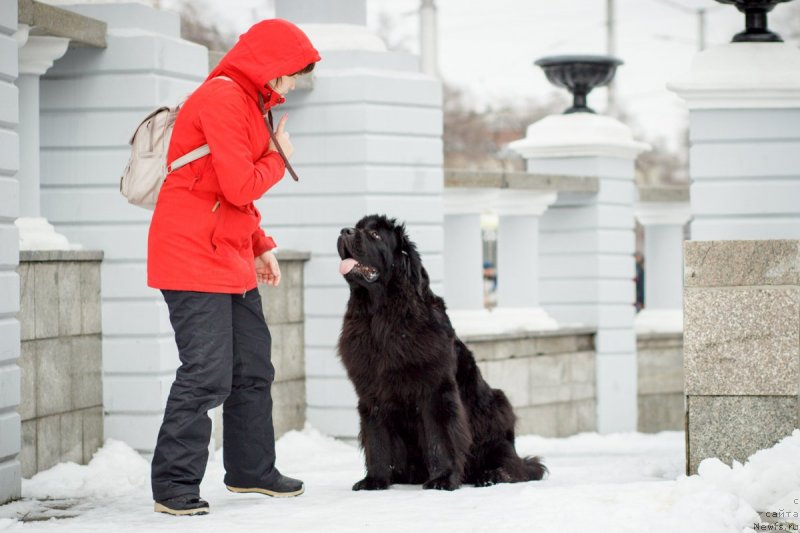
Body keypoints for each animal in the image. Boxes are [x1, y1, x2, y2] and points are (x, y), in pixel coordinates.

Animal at [334, 214, 548, 488]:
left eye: (375, 235)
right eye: (358, 227)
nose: (344, 231)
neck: (381, 317)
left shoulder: (435, 390)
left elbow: (440, 438)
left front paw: (443, 479)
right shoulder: (372, 394)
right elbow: (376, 439)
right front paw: (375, 481)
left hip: (497, 412)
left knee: (517, 465)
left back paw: (491, 476)